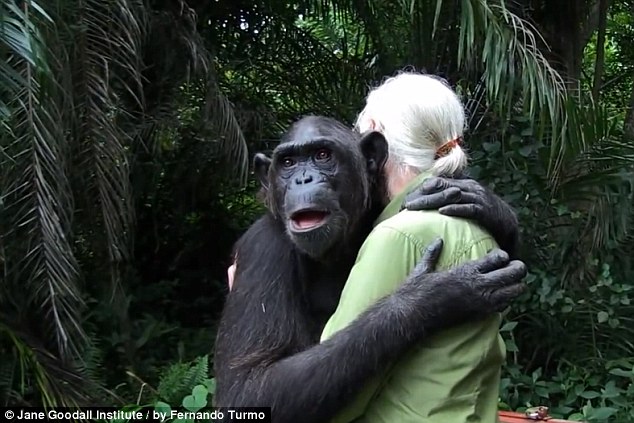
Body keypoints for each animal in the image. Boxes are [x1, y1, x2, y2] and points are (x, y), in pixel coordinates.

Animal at [212, 116, 524, 423]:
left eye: (322, 155)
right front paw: (431, 297)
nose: (303, 178)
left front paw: (483, 203)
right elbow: (247, 386)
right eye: (288, 163)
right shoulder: (263, 249)